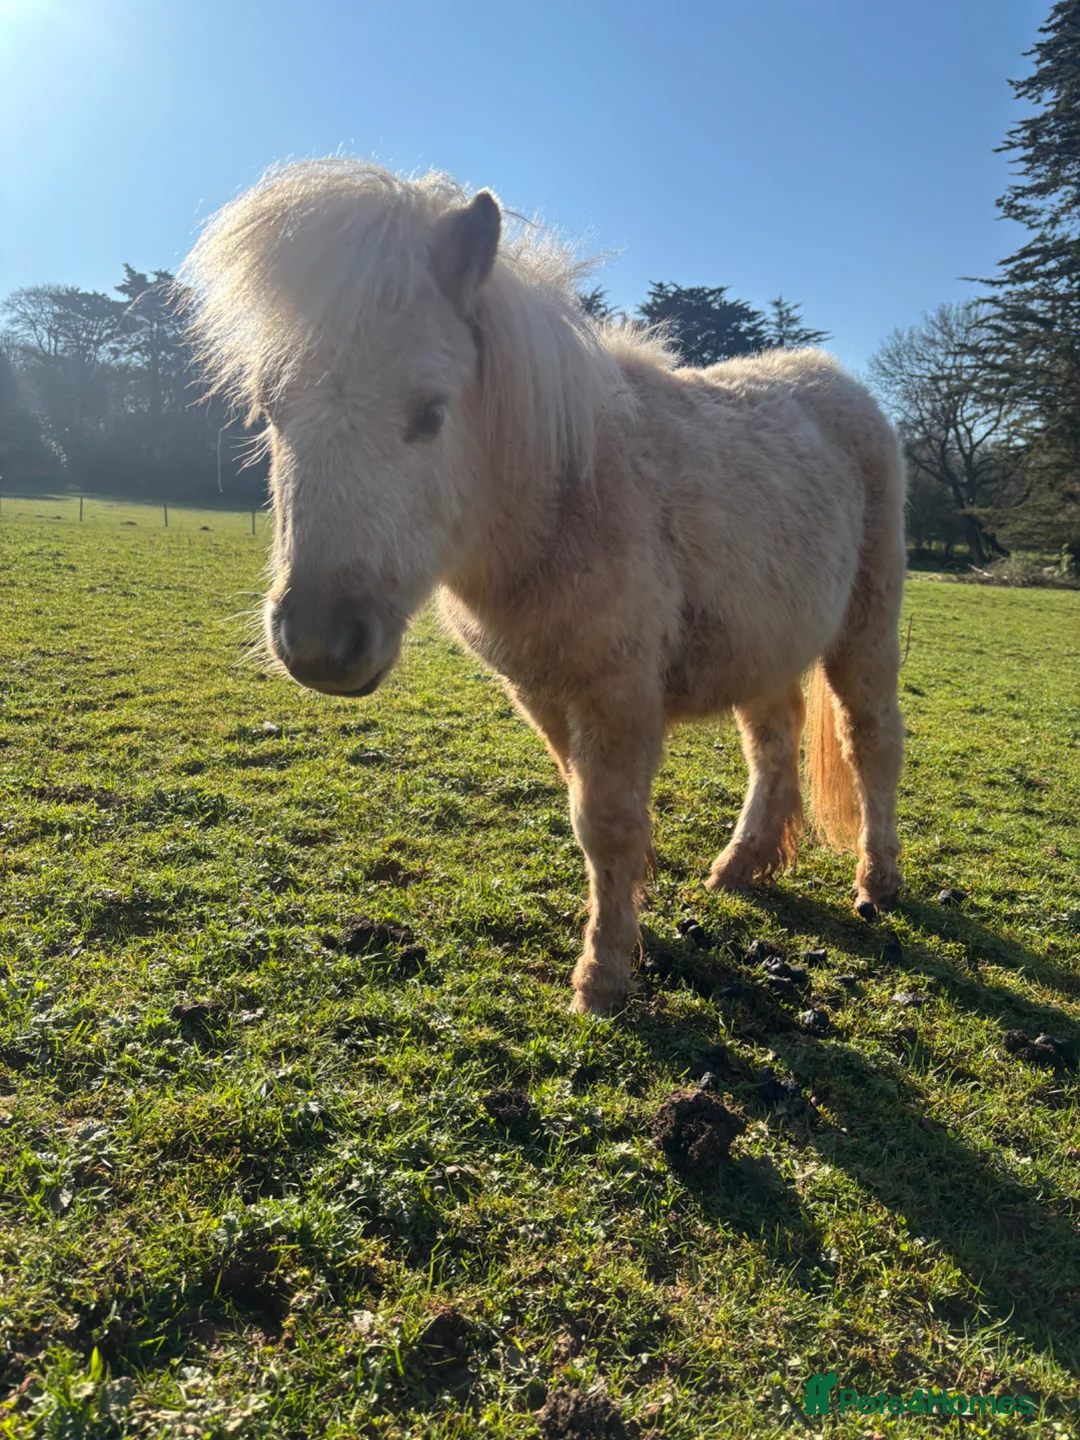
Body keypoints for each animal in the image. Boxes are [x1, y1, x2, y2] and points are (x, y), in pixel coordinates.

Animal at [182, 160, 906, 1015]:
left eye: (431, 412)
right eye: (270, 410)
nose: (320, 644)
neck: (568, 495)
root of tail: (838, 385)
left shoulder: (617, 694)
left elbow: (607, 821)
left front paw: (604, 978)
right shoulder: (542, 692)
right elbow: (585, 810)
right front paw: (629, 913)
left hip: (865, 628)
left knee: (872, 741)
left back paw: (877, 883)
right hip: (765, 638)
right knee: (773, 739)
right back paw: (741, 865)